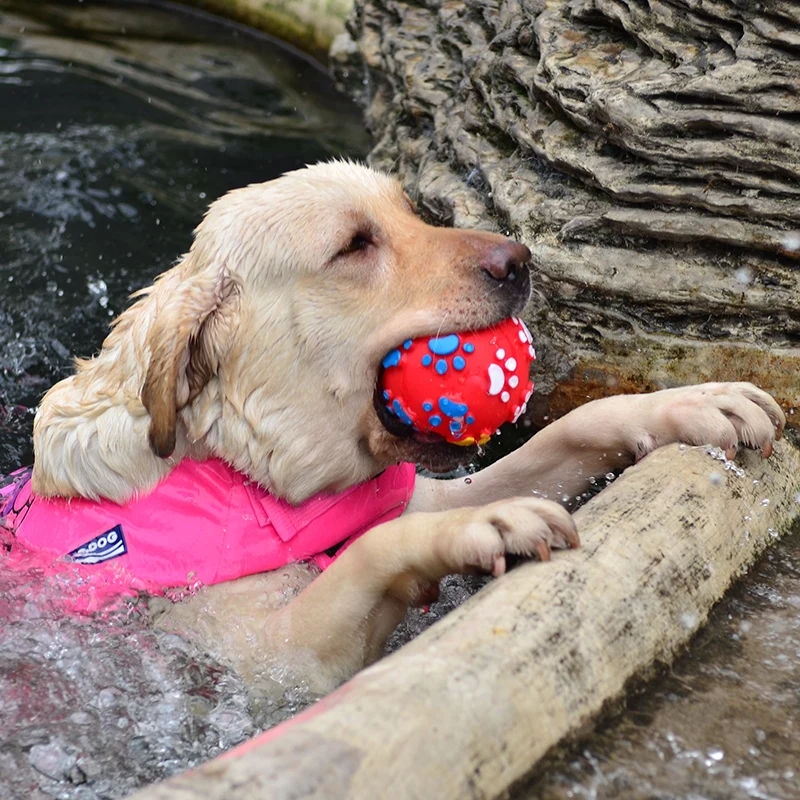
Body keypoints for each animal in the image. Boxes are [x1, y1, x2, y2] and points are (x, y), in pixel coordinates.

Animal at [29, 159, 780, 692]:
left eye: (410, 211)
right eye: (354, 245)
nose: (521, 260)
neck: (246, 465)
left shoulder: (419, 489)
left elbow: (561, 433)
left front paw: (693, 402)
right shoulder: (270, 660)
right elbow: (372, 549)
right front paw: (482, 526)